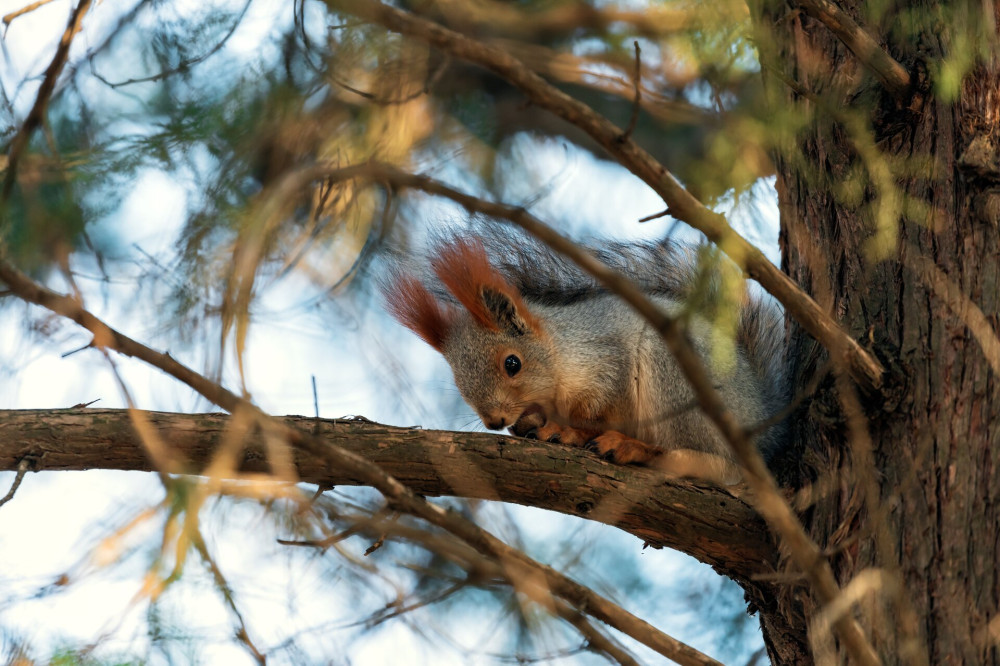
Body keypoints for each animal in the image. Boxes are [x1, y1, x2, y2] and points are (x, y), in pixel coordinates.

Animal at [382, 232, 788, 482]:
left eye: (512, 363)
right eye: (458, 382)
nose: (495, 422)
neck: (559, 351)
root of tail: (761, 426)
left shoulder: (605, 360)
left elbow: (594, 413)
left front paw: (567, 431)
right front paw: (530, 424)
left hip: (678, 378)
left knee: (719, 464)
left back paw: (635, 448)